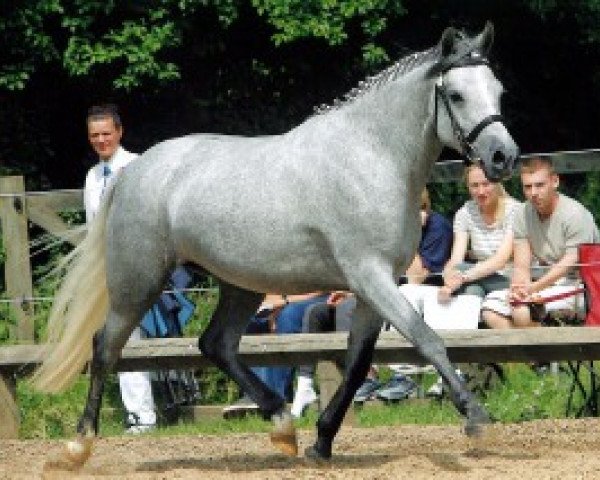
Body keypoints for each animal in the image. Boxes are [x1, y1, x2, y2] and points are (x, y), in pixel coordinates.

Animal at [32, 23, 516, 464]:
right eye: (456, 95)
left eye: (498, 90)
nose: (503, 157)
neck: (372, 157)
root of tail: (133, 170)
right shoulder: (369, 275)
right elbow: (426, 338)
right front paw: (476, 418)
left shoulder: (372, 286)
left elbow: (358, 363)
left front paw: (321, 442)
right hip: (139, 280)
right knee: (105, 347)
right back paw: (78, 446)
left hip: (239, 284)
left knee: (216, 344)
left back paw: (282, 425)